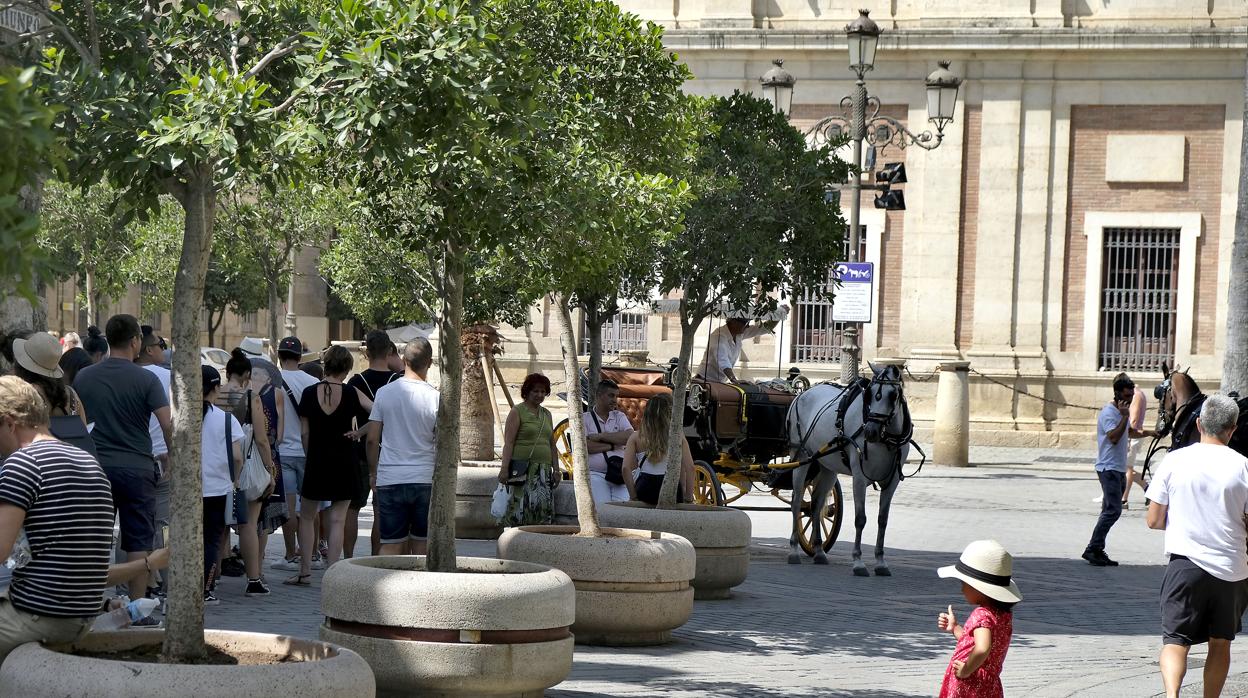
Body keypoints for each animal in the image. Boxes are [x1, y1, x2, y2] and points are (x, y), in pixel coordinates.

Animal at [783, 362, 913, 576]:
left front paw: (880, 562)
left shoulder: (892, 481)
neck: (887, 439)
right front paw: (858, 562)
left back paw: (819, 551)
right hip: (801, 457)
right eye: (870, 395)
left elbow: (883, 520)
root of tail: (802, 393)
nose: (870, 432)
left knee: (815, 505)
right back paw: (793, 550)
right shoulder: (859, 477)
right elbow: (860, 518)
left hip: (827, 467)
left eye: (893, 395)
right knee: (796, 503)